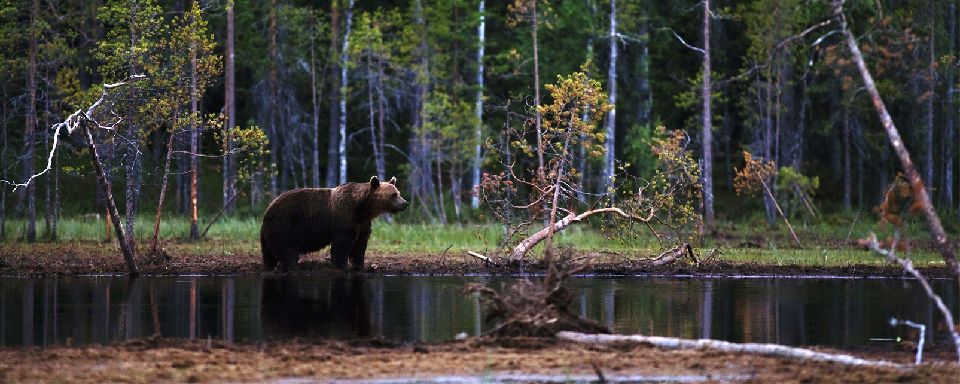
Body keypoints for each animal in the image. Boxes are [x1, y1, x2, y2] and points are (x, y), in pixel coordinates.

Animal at [258, 176, 408, 272]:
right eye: (393, 195)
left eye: (398, 193)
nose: (405, 203)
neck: (361, 208)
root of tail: (267, 210)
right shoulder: (345, 218)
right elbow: (342, 244)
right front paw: (341, 266)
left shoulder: (363, 223)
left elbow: (360, 244)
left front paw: (360, 265)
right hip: (285, 226)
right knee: (287, 250)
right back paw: (294, 267)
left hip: (269, 233)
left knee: (269, 253)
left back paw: (269, 267)